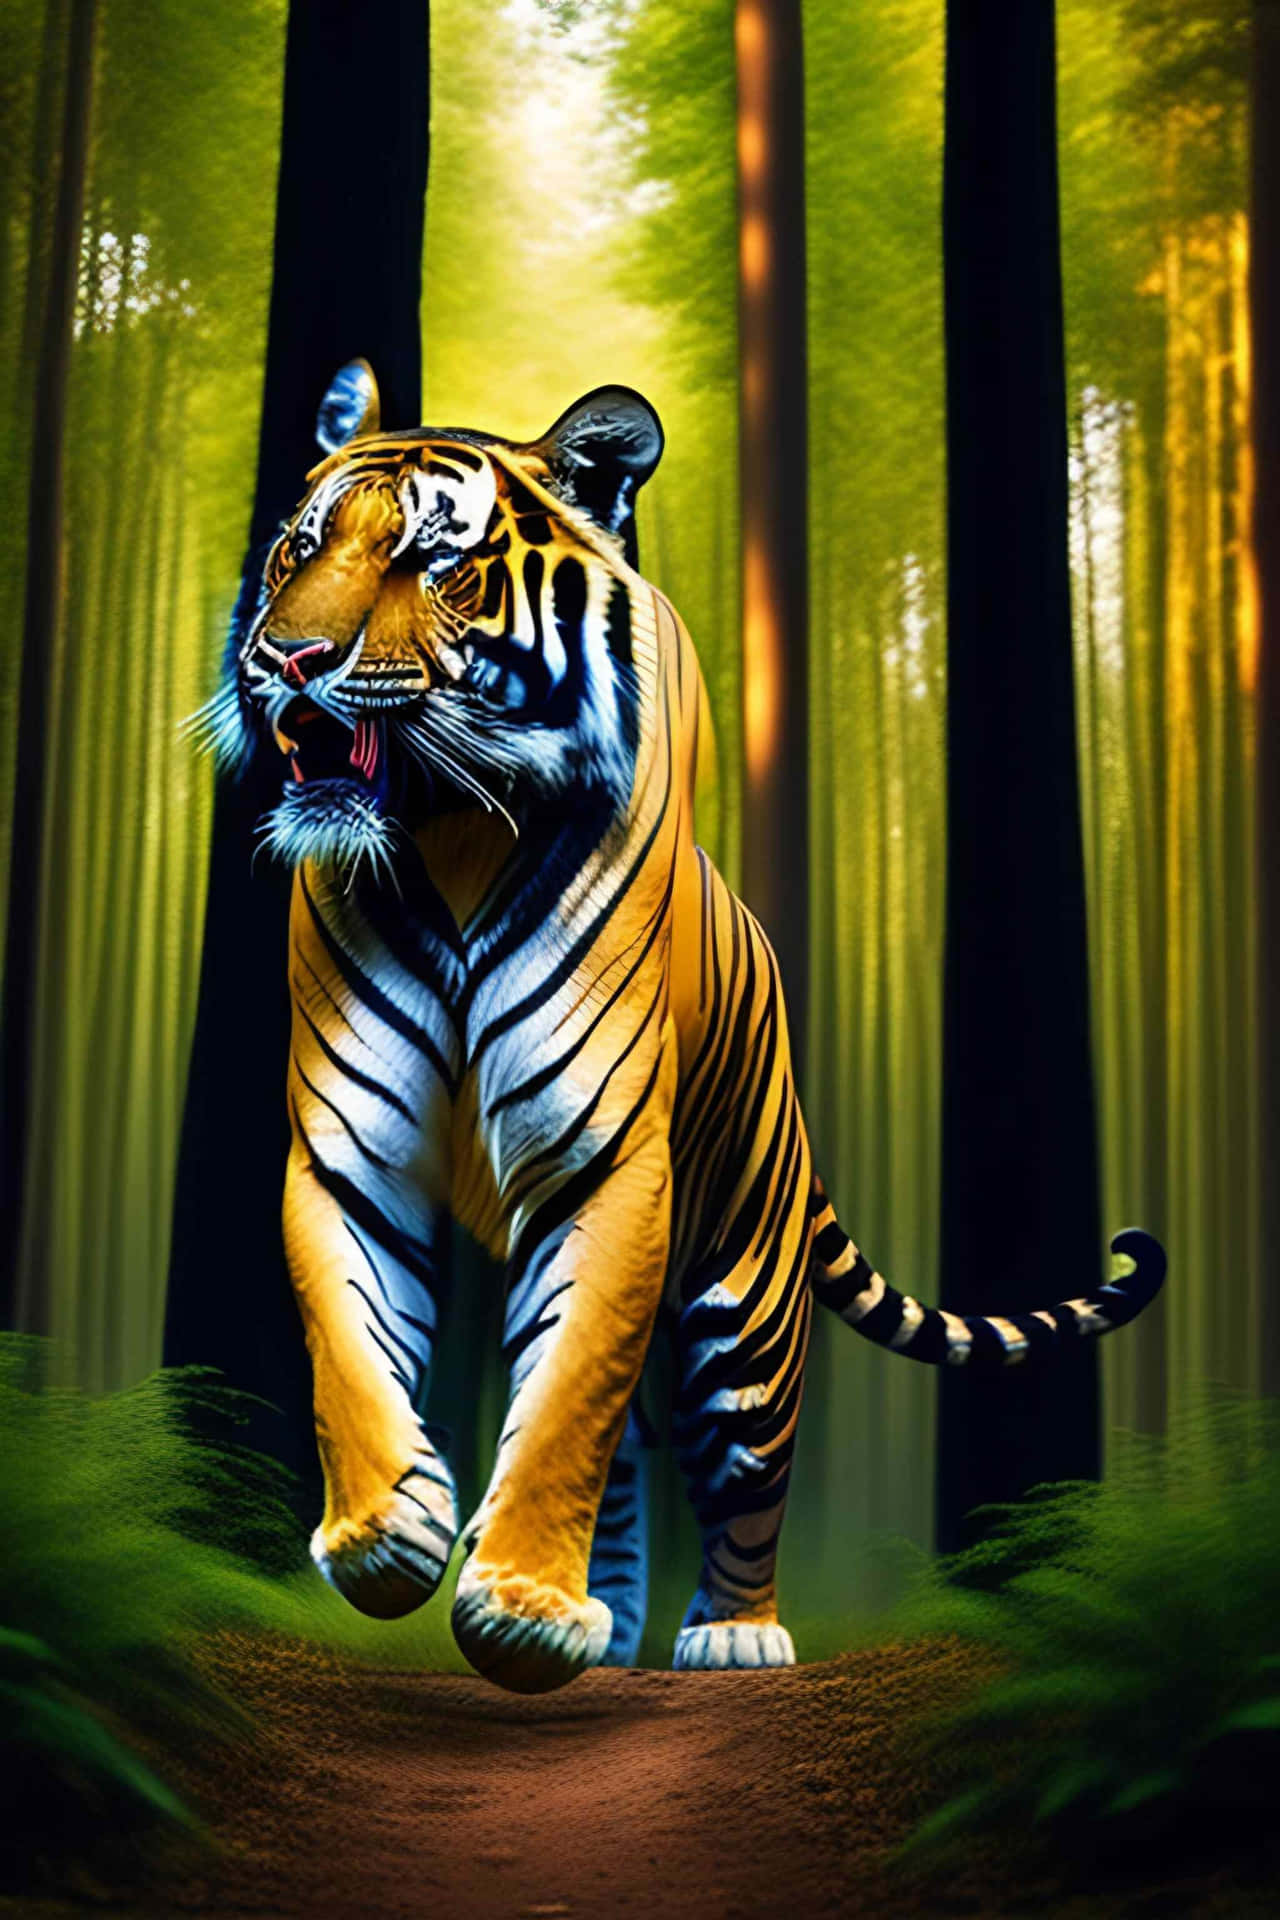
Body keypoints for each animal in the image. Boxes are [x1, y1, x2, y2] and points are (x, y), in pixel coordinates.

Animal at [198, 360, 1166, 1695]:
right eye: (299, 547)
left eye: (432, 557)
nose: (286, 657)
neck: (449, 837)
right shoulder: (350, 1155)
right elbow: (352, 1348)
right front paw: (391, 1536)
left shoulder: (604, 1168)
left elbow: (564, 1401)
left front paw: (517, 1608)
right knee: (619, 1445)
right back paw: (607, 1627)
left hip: (741, 1294)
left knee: (741, 1463)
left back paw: (732, 1632)